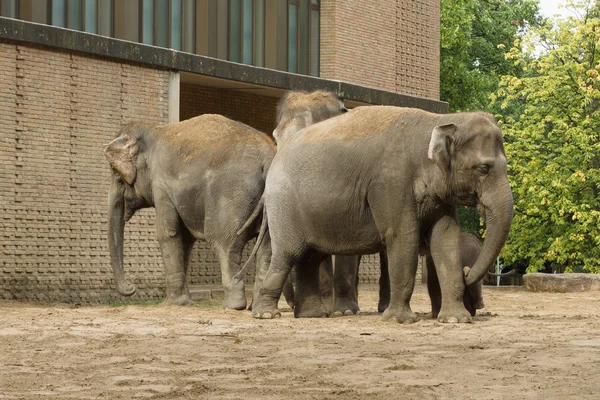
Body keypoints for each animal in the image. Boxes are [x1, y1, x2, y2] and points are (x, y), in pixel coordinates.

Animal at [104, 114, 276, 308]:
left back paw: (233, 306)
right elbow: (185, 238)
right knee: (268, 248)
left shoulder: (161, 184)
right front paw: (180, 301)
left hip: (232, 197)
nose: (131, 288)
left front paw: (172, 304)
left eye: (116, 174)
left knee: (225, 244)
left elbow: (168, 232)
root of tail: (267, 158)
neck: (153, 129)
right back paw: (259, 308)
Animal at [246, 96, 512, 322]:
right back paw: (266, 314)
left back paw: (313, 315)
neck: (437, 121)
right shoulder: (391, 182)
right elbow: (403, 235)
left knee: (309, 257)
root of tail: (276, 157)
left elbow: (445, 239)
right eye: (483, 169)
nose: (467, 273)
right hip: (284, 207)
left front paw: (456, 319)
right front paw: (400, 320)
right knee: (288, 254)